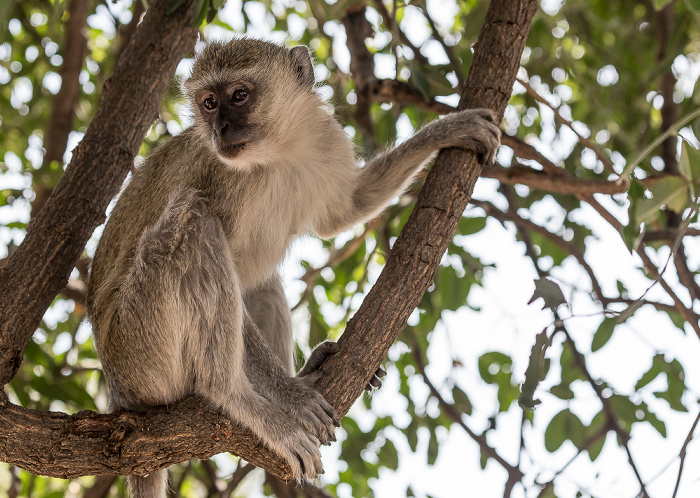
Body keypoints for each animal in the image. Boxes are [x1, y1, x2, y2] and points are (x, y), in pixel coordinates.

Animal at [87, 39, 500, 498]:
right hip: (140, 345)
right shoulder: (221, 180)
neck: (277, 154)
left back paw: (304, 372)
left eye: (239, 96)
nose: (220, 130)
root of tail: (119, 389)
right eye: (209, 103)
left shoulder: (327, 140)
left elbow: (348, 207)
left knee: (262, 285)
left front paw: (448, 129)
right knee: (195, 223)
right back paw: (238, 397)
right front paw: (290, 397)